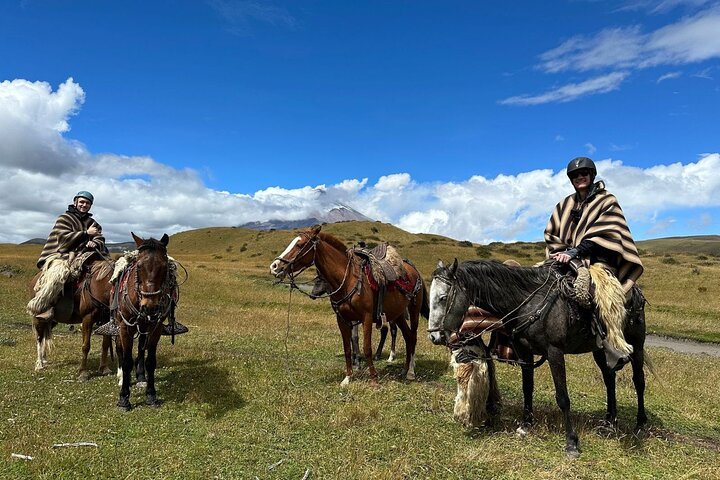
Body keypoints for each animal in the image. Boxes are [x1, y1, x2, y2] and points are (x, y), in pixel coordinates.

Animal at [116, 232, 177, 408]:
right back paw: (121, 377)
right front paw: (124, 398)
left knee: (141, 348)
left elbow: (150, 361)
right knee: (119, 348)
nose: (149, 307)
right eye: (139, 267)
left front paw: (151, 394)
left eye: (164, 267)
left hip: (144, 326)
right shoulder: (125, 327)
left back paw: (141, 377)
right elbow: (126, 361)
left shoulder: (155, 327)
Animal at [270, 225, 428, 386]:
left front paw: (374, 379)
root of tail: (414, 270)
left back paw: (411, 372)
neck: (348, 279)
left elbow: (366, 348)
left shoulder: (366, 318)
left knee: (413, 336)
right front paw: (348, 378)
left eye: (299, 244)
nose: (274, 266)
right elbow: (347, 347)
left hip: (413, 310)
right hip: (398, 314)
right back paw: (404, 370)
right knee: (407, 336)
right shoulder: (342, 319)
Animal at [428, 258, 648, 458]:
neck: (529, 303)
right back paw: (609, 422)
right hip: (600, 350)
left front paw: (571, 443)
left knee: (638, 381)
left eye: (443, 297)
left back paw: (640, 424)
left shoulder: (554, 352)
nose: (434, 336)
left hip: (637, 344)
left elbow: (562, 397)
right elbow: (527, 388)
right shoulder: (525, 352)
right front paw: (526, 424)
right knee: (609, 379)